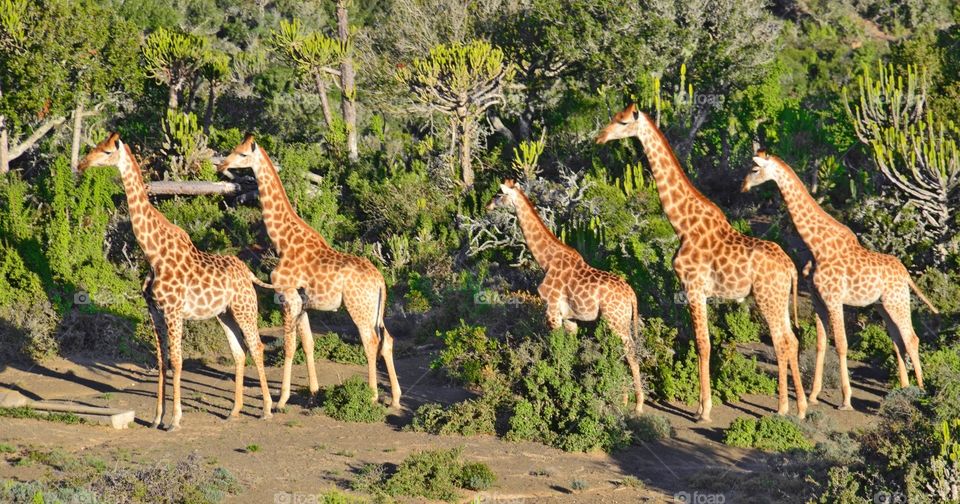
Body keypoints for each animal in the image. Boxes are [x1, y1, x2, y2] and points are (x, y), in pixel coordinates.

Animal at [78, 133, 273, 430]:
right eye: (96, 147)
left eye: (108, 151)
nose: (82, 164)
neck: (153, 254)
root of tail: (247, 272)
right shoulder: (154, 312)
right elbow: (161, 362)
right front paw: (156, 418)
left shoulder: (174, 311)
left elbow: (177, 361)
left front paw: (175, 420)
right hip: (224, 314)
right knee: (239, 352)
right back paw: (234, 411)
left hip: (245, 308)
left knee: (257, 346)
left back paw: (267, 409)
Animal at [217, 135, 401, 410]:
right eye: (234, 150)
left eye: (242, 154)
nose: (221, 165)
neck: (283, 241)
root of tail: (380, 281)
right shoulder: (302, 303)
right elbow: (308, 343)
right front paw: (313, 392)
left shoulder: (286, 297)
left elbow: (290, 346)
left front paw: (282, 400)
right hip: (376, 310)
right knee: (387, 339)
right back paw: (396, 399)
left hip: (358, 308)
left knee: (371, 342)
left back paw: (371, 395)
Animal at [487, 179, 646, 414]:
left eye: (499, 194)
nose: (487, 205)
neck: (546, 260)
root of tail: (632, 295)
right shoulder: (570, 318)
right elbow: (569, 350)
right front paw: (569, 385)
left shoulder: (552, 312)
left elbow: (555, 348)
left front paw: (553, 387)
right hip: (618, 321)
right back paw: (623, 398)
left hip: (616, 321)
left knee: (630, 351)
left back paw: (637, 404)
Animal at [596, 104, 807, 422]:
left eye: (622, 122)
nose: (600, 137)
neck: (682, 224)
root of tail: (791, 267)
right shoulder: (698, 292)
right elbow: (702, 343)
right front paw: (700, 405)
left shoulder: (693, 288)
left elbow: (702, 343)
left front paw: (703, 410)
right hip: (778, 298)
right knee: (792, 340)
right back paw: (802, 408)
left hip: (767, 298)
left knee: (781, 341)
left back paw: (782, 408)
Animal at [743, 150, 938, 409]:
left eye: (755, 169)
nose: (743, 186)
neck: (816, 245)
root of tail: (906, 274)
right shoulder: (818, 299)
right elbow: (821, 343)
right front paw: (814, 395)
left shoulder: (834, 299)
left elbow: (842, 345)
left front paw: (846, 400)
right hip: (883, 306)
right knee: (898, 340)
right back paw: (904, 389)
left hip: (897, 301)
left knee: (912, 338)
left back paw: (920, 392)